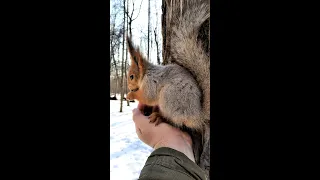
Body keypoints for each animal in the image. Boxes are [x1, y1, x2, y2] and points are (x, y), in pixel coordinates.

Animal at [126, 0, 209, 132]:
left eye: (132, 76)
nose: (129, 86)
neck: (146, 74)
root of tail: (196, 116)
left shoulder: (151, 83)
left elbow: (148, 97)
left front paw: (130, 95)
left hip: (169, 96)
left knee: (174, 120)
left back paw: (159, 117)